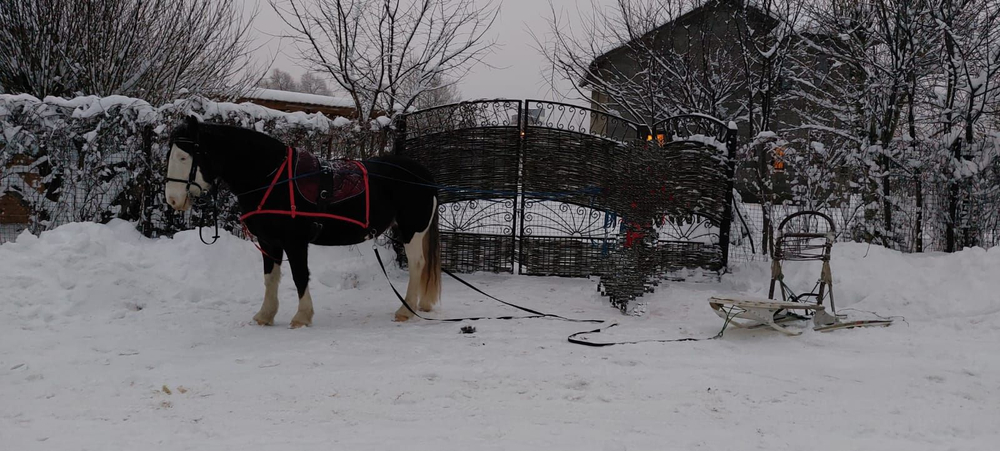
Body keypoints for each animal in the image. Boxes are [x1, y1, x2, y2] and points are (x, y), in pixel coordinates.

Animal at [164, 115, 440, 328]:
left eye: (184, 157)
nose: (173, 200)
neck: (273, 178)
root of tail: (423, 174)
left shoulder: (295, 242)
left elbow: (299, 275)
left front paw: (302, 317)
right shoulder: (269, 241)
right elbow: (270, 277)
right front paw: (265, 315)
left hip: (411, 230)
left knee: (417, 264)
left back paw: (405, 310)